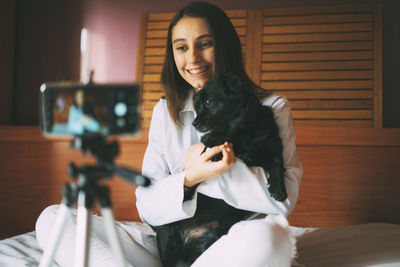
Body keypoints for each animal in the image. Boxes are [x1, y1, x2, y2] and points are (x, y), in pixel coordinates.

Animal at [152, 73, 288, 267]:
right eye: (197, 107)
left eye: (209, 101)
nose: (194, 123)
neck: (243, 129)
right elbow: (215, 141)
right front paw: (216, 148)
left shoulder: (271, 146)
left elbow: (277, 163)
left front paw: (278, 190)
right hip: (166, 228)